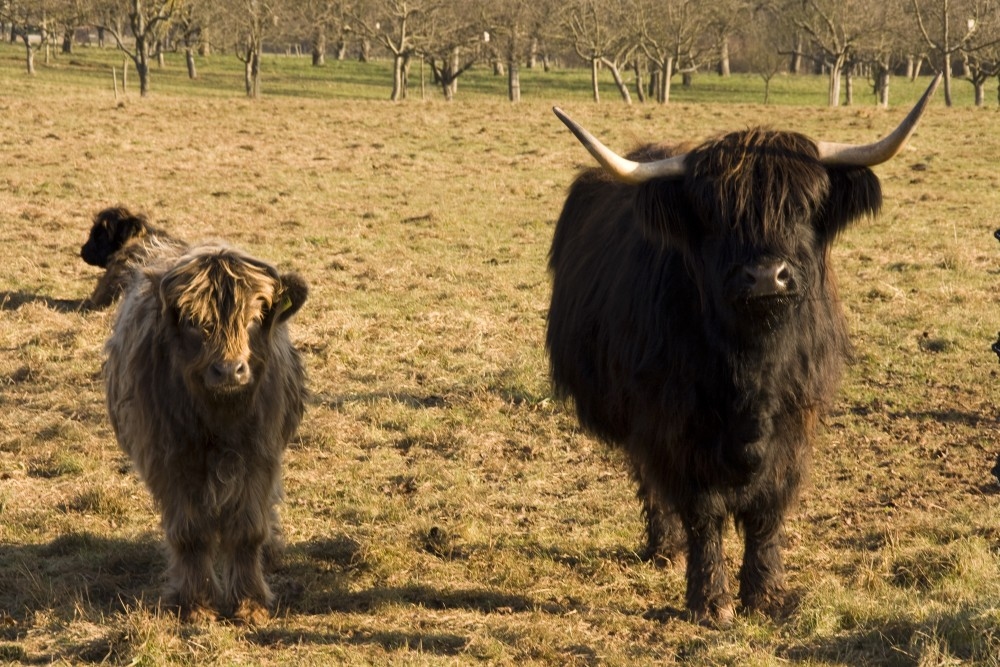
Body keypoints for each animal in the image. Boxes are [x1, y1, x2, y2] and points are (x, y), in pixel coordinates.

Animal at [104, 241, 308, 628]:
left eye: (255, 318)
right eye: (193, 322)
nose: (229, 370)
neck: (219, 416)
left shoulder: (260, 455)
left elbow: (248, 530)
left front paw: (249, 603)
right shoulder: (171, 461)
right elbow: (190, 534)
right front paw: (195, 604)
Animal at [548, 77, 936, 628]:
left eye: (803, 207)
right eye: (715, 217)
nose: (766, 276)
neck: (753, 365)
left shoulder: (796, 418)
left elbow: (767, 506)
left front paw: (765, 594)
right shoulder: (674, 422)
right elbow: (702, 511)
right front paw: (710, 601)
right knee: (648, 478)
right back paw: (664, 547)